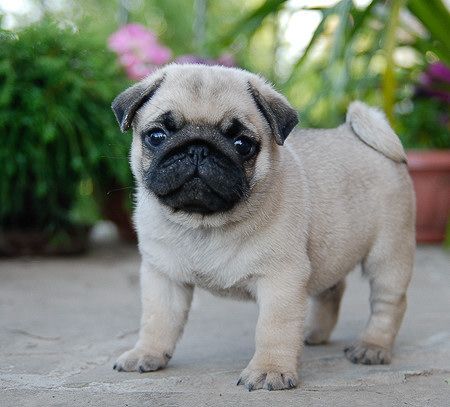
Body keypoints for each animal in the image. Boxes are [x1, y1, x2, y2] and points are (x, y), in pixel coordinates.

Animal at [110, 64, 414, 392]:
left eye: (242, 144)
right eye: (156, 136)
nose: (198, 149)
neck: (204, 224)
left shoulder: (281, 280)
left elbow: (274, 328)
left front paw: (271, 370)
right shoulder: (163, 276)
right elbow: (157, 320)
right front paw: (146, 353)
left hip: (388, 254)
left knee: (388, 303)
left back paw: (372, 346)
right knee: (332, 289)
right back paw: (313, 333)